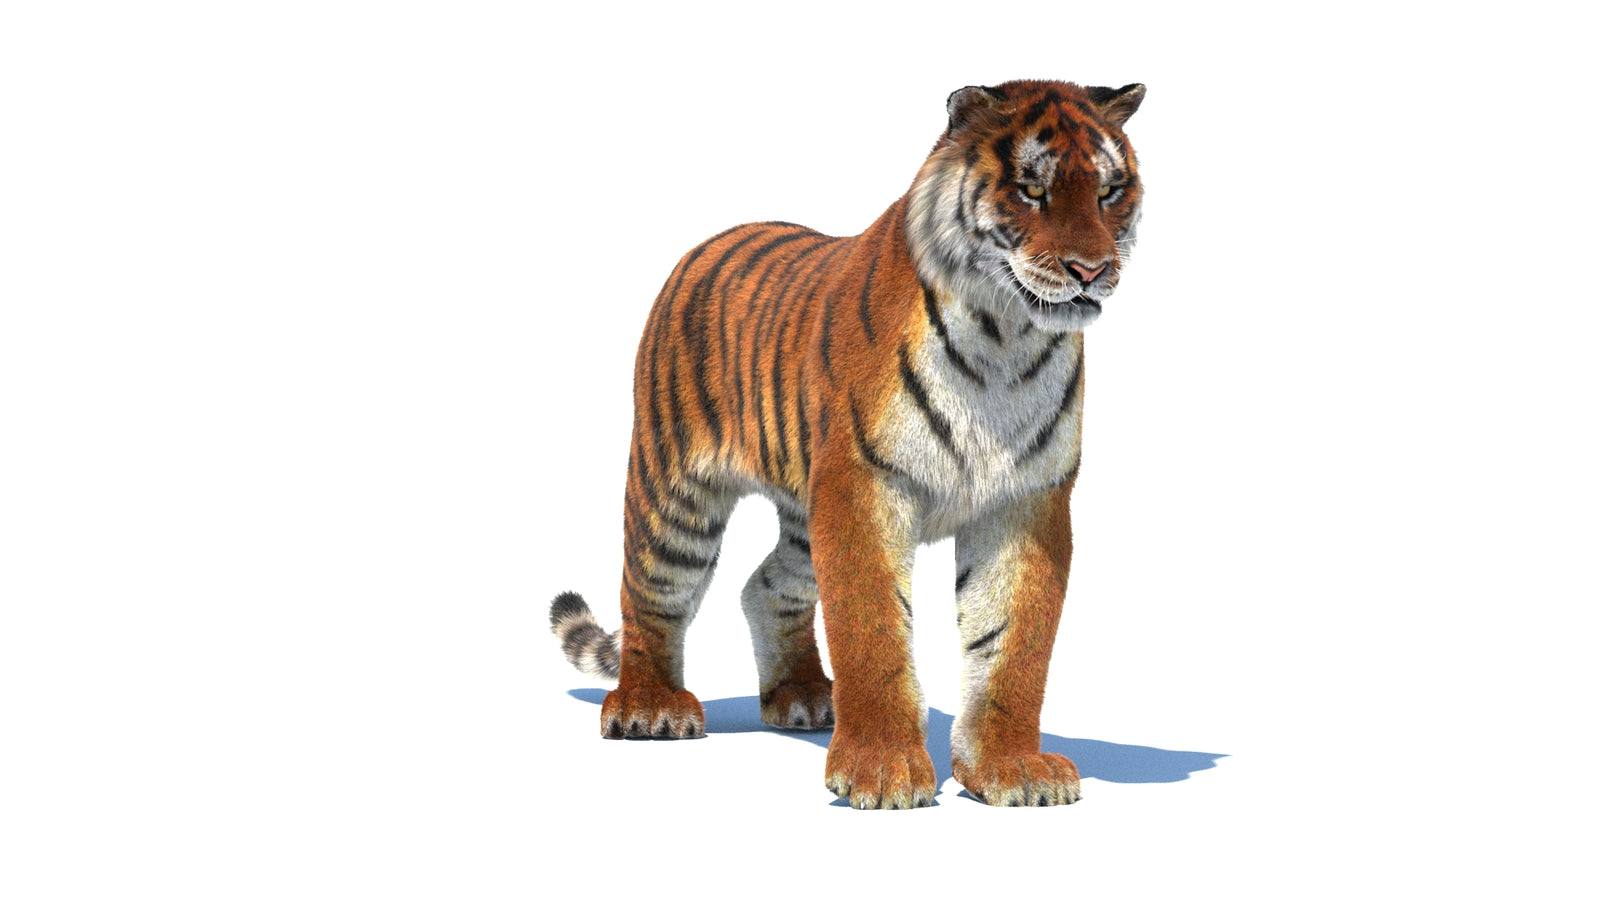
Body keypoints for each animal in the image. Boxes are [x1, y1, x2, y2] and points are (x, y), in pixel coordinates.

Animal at [550, 79, 1145, 809]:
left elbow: (1012, 644)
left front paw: (1011, 769)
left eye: (1110, 191)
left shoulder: (1026, 501)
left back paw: (802, 696)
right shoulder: (863, 487)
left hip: (806, 518)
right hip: (676, 494)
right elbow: (873, 629)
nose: (1092, 269)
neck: (1004, 336)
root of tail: (713, 240)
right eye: (1032, 191)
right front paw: (882, 772)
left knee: (764, 584)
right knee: (650, 593)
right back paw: (649, 706)